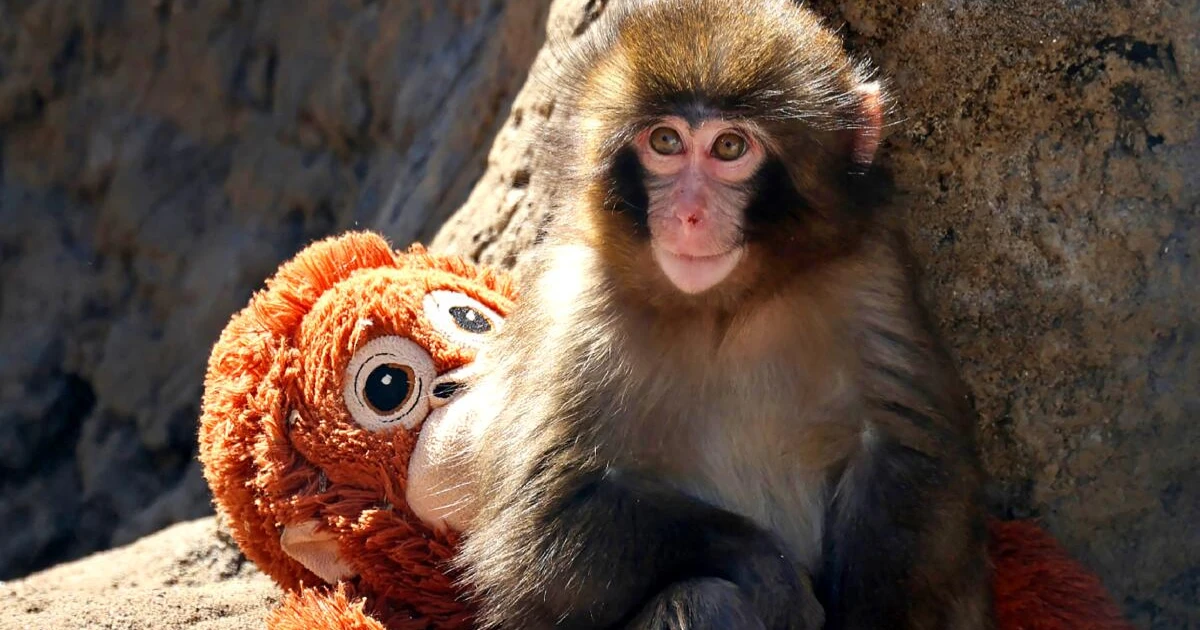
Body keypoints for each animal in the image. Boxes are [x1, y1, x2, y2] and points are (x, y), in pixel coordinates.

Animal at [444, 0, 993, 628]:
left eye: (729, 148)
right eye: (665, 141)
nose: (688, 214)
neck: (724, 307)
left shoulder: (871, 274)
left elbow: (912, 458)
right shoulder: (572, 307)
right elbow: (538, 534)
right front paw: (766, 568)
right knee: (703, 598)